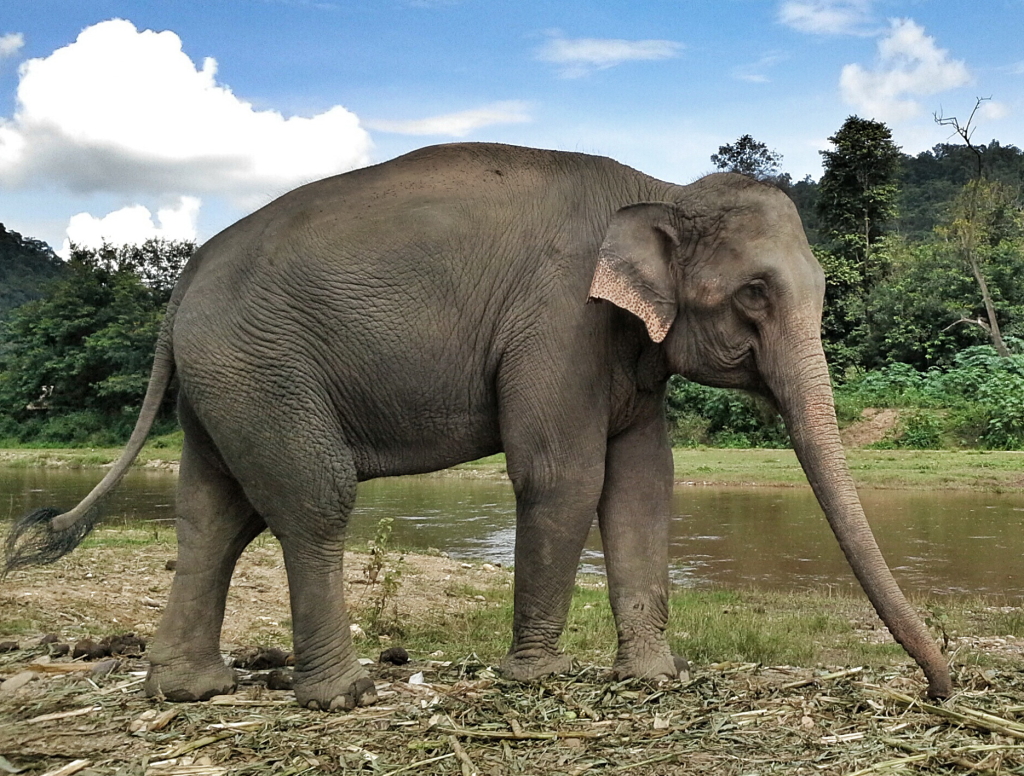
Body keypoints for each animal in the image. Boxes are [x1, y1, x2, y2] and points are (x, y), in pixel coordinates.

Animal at [6, 143, 950, 708]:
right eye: (755, 293)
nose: (941, 690)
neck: (660, 188)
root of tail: (183, 280)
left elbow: (645, 485)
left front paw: (653, 679)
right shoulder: (560, 321)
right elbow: (563, 475)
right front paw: (536, 678)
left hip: (225, 382)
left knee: (213, 511)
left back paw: (190, 690)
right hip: (263, 367)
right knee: (312, 501)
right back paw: (341, 694)